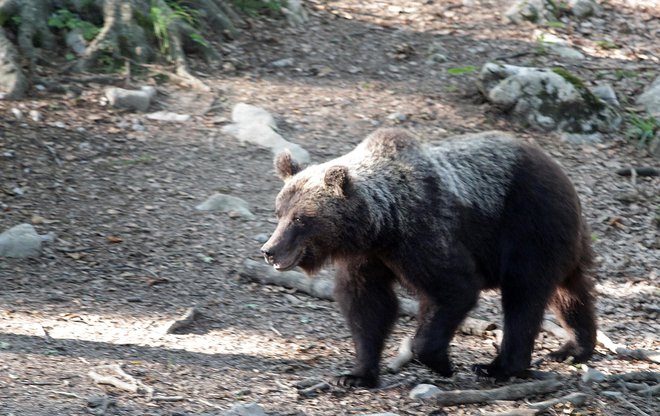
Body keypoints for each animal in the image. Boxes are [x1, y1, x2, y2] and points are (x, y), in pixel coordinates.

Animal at [260, 128, 596, 388]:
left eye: (301, 219)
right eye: (279, 212)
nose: (269, 249)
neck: (383, 225)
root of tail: (559, 170)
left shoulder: (424, 234)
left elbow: (454, 288)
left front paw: (441, 362)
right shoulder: (367, 257)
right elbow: (368, 304)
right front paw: (356, 374)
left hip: (529, 225)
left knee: (524, 295)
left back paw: (498, 367)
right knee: (569, 292)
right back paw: (574, 347)